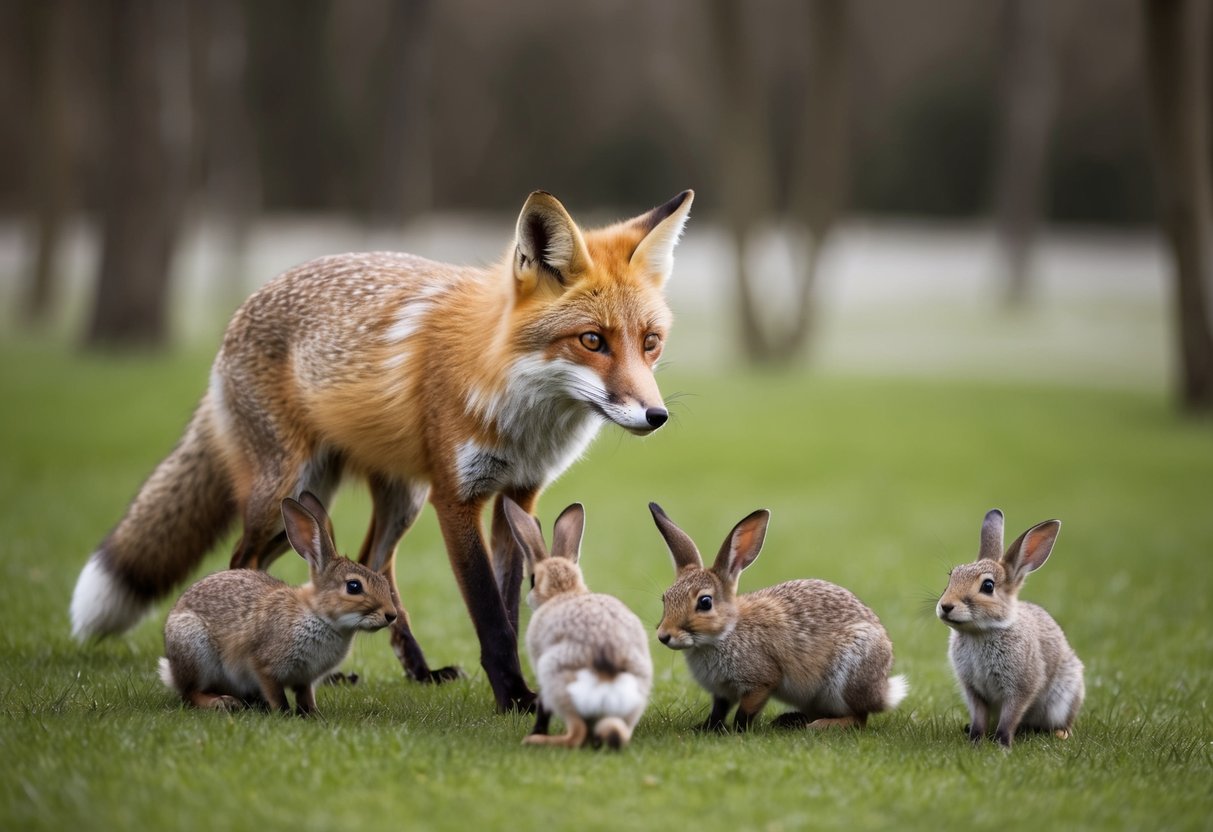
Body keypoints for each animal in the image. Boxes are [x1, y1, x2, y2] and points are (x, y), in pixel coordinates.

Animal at [158, 492, 397, 715]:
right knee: (190, 692)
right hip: (195, 650)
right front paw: (284, 713)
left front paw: (313, 714)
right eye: (354, 587)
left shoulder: (305, 678)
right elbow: (275, 693)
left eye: (384, 583)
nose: (391, 615)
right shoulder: (263, 665)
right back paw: (222, 702)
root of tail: (172, 671)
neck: (320, 615)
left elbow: (305, 695)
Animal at [502, 498, 653, 749]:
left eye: (532, 580)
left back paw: (536, 740)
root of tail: (606, 672)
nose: (530, 597)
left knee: (576, 734)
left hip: (556, 681)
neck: (564, 591)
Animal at [650, 503, 908, 732]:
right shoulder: (721, 692)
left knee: (858, 718)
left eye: (705, 603)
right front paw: (706, 728)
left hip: (845, 678)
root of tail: (881, 692)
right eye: (665, 599)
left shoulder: (762, 681)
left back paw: (817, 726)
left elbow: (745, 710)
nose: (664, 636)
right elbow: (718, 710)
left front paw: (738, 731)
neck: (726, 632)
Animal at [936, 508, 1084, 748]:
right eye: (951, 578)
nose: (945, 606)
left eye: (988, 586)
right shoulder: (973, 690)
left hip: (1064, 698)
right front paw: (975, 740)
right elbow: (979, 716)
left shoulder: (1021, 688)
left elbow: (1010, 717)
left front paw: (1002, 745)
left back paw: (1061, 733)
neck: (981, 632)